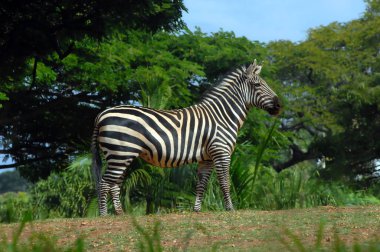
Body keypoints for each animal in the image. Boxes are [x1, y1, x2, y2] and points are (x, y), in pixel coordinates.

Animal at [90, 60, 280, 216]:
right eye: (257, 84)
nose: (279, 105)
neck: (222, 116)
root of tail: (102, 113)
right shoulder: (221, 151)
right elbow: (224, 181)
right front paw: (230, 209)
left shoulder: (207, 157)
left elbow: (202, 184)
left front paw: (196, 210)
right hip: (120, 153)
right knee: (105, 183)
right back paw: (104, 215)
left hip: (121, 155)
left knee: (115, 183)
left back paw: (120, 213)